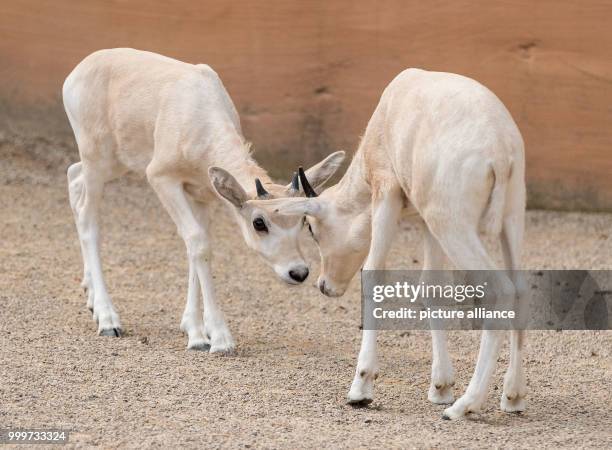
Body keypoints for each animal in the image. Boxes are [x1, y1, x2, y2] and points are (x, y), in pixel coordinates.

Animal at [65, 48, 350, 352]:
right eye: (259, 223)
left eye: (303, 221)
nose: (298, 272)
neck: (197, 113)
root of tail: (78, 72)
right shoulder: (162, 178)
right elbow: (198, 242)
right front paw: (219, 339)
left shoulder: (202, 193)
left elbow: (197, 246)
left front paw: (196, 330)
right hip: (97, 159)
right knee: (88, 216)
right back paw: (108, 319)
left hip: (116, 163)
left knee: (73, 177)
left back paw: (90, 296)